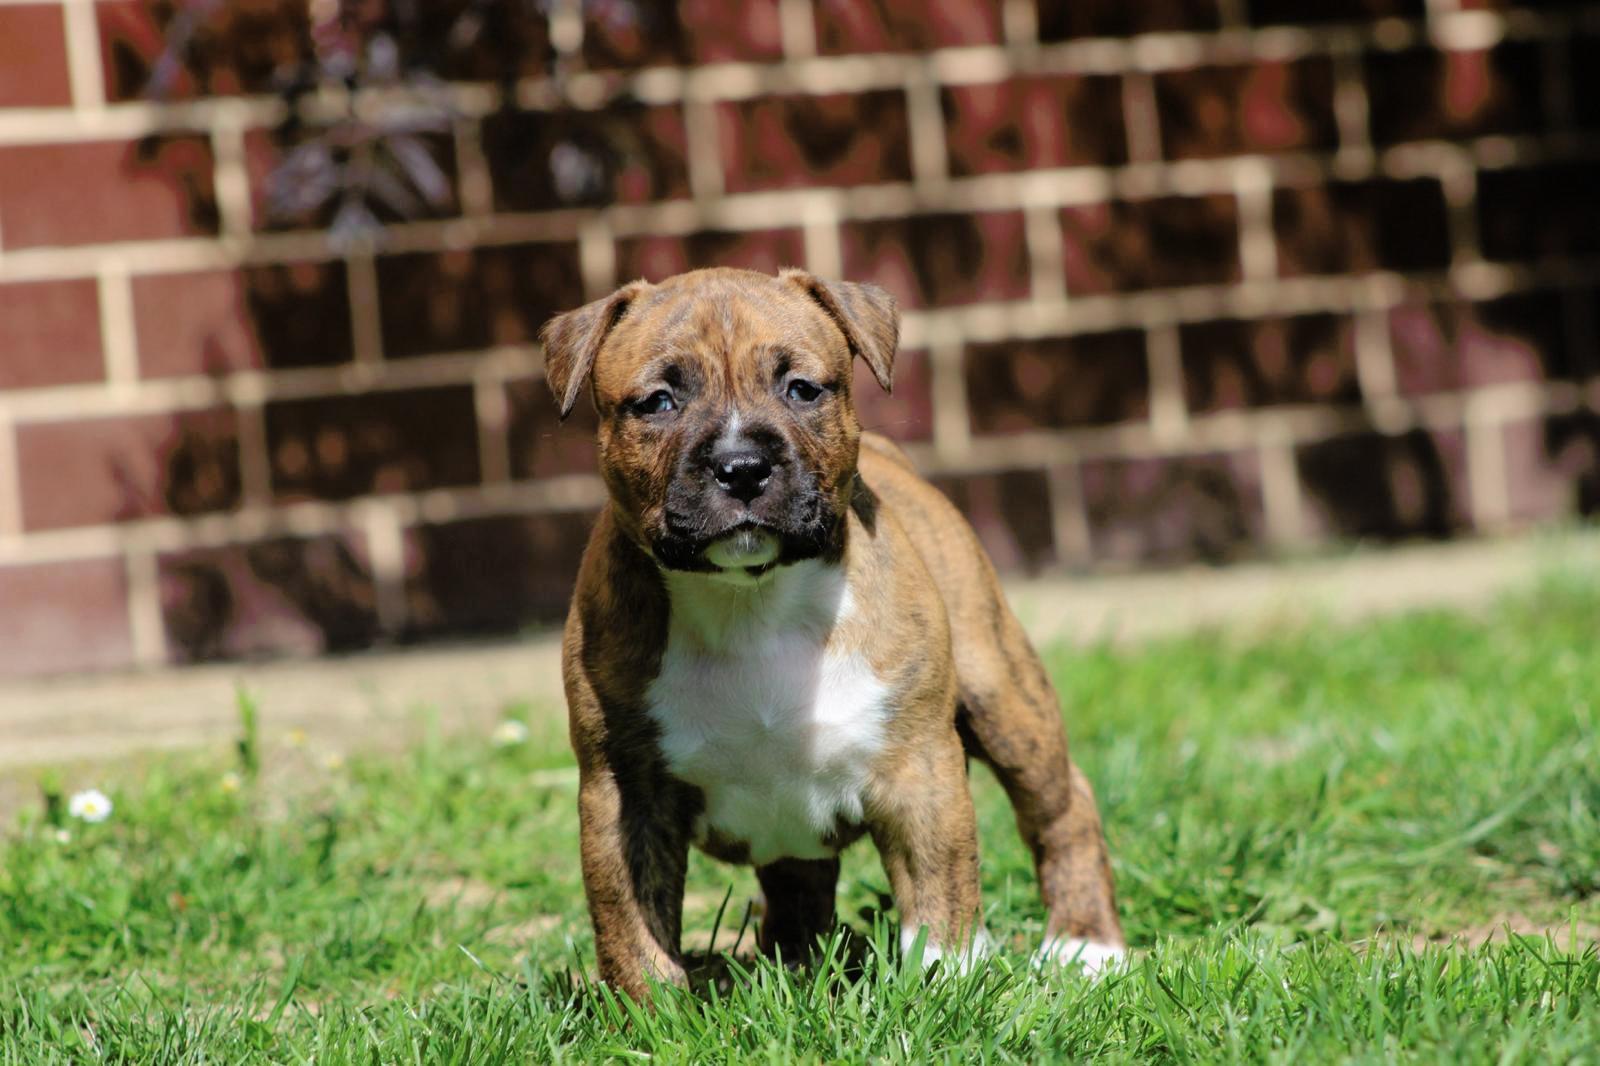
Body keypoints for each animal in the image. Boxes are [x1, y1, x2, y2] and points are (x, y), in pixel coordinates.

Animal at [542, 267, 1125, 1001]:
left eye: (802, 389)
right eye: (658, 403)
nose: (741, 464)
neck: (751, 598)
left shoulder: (919, 769)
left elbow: (940, 893)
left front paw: (945, 989)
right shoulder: (624, 794)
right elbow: (629, 922)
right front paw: (654, 1013)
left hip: (1003, 693)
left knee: (1061, 805)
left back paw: (1086, 944)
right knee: (798, 880)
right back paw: (793, 967)